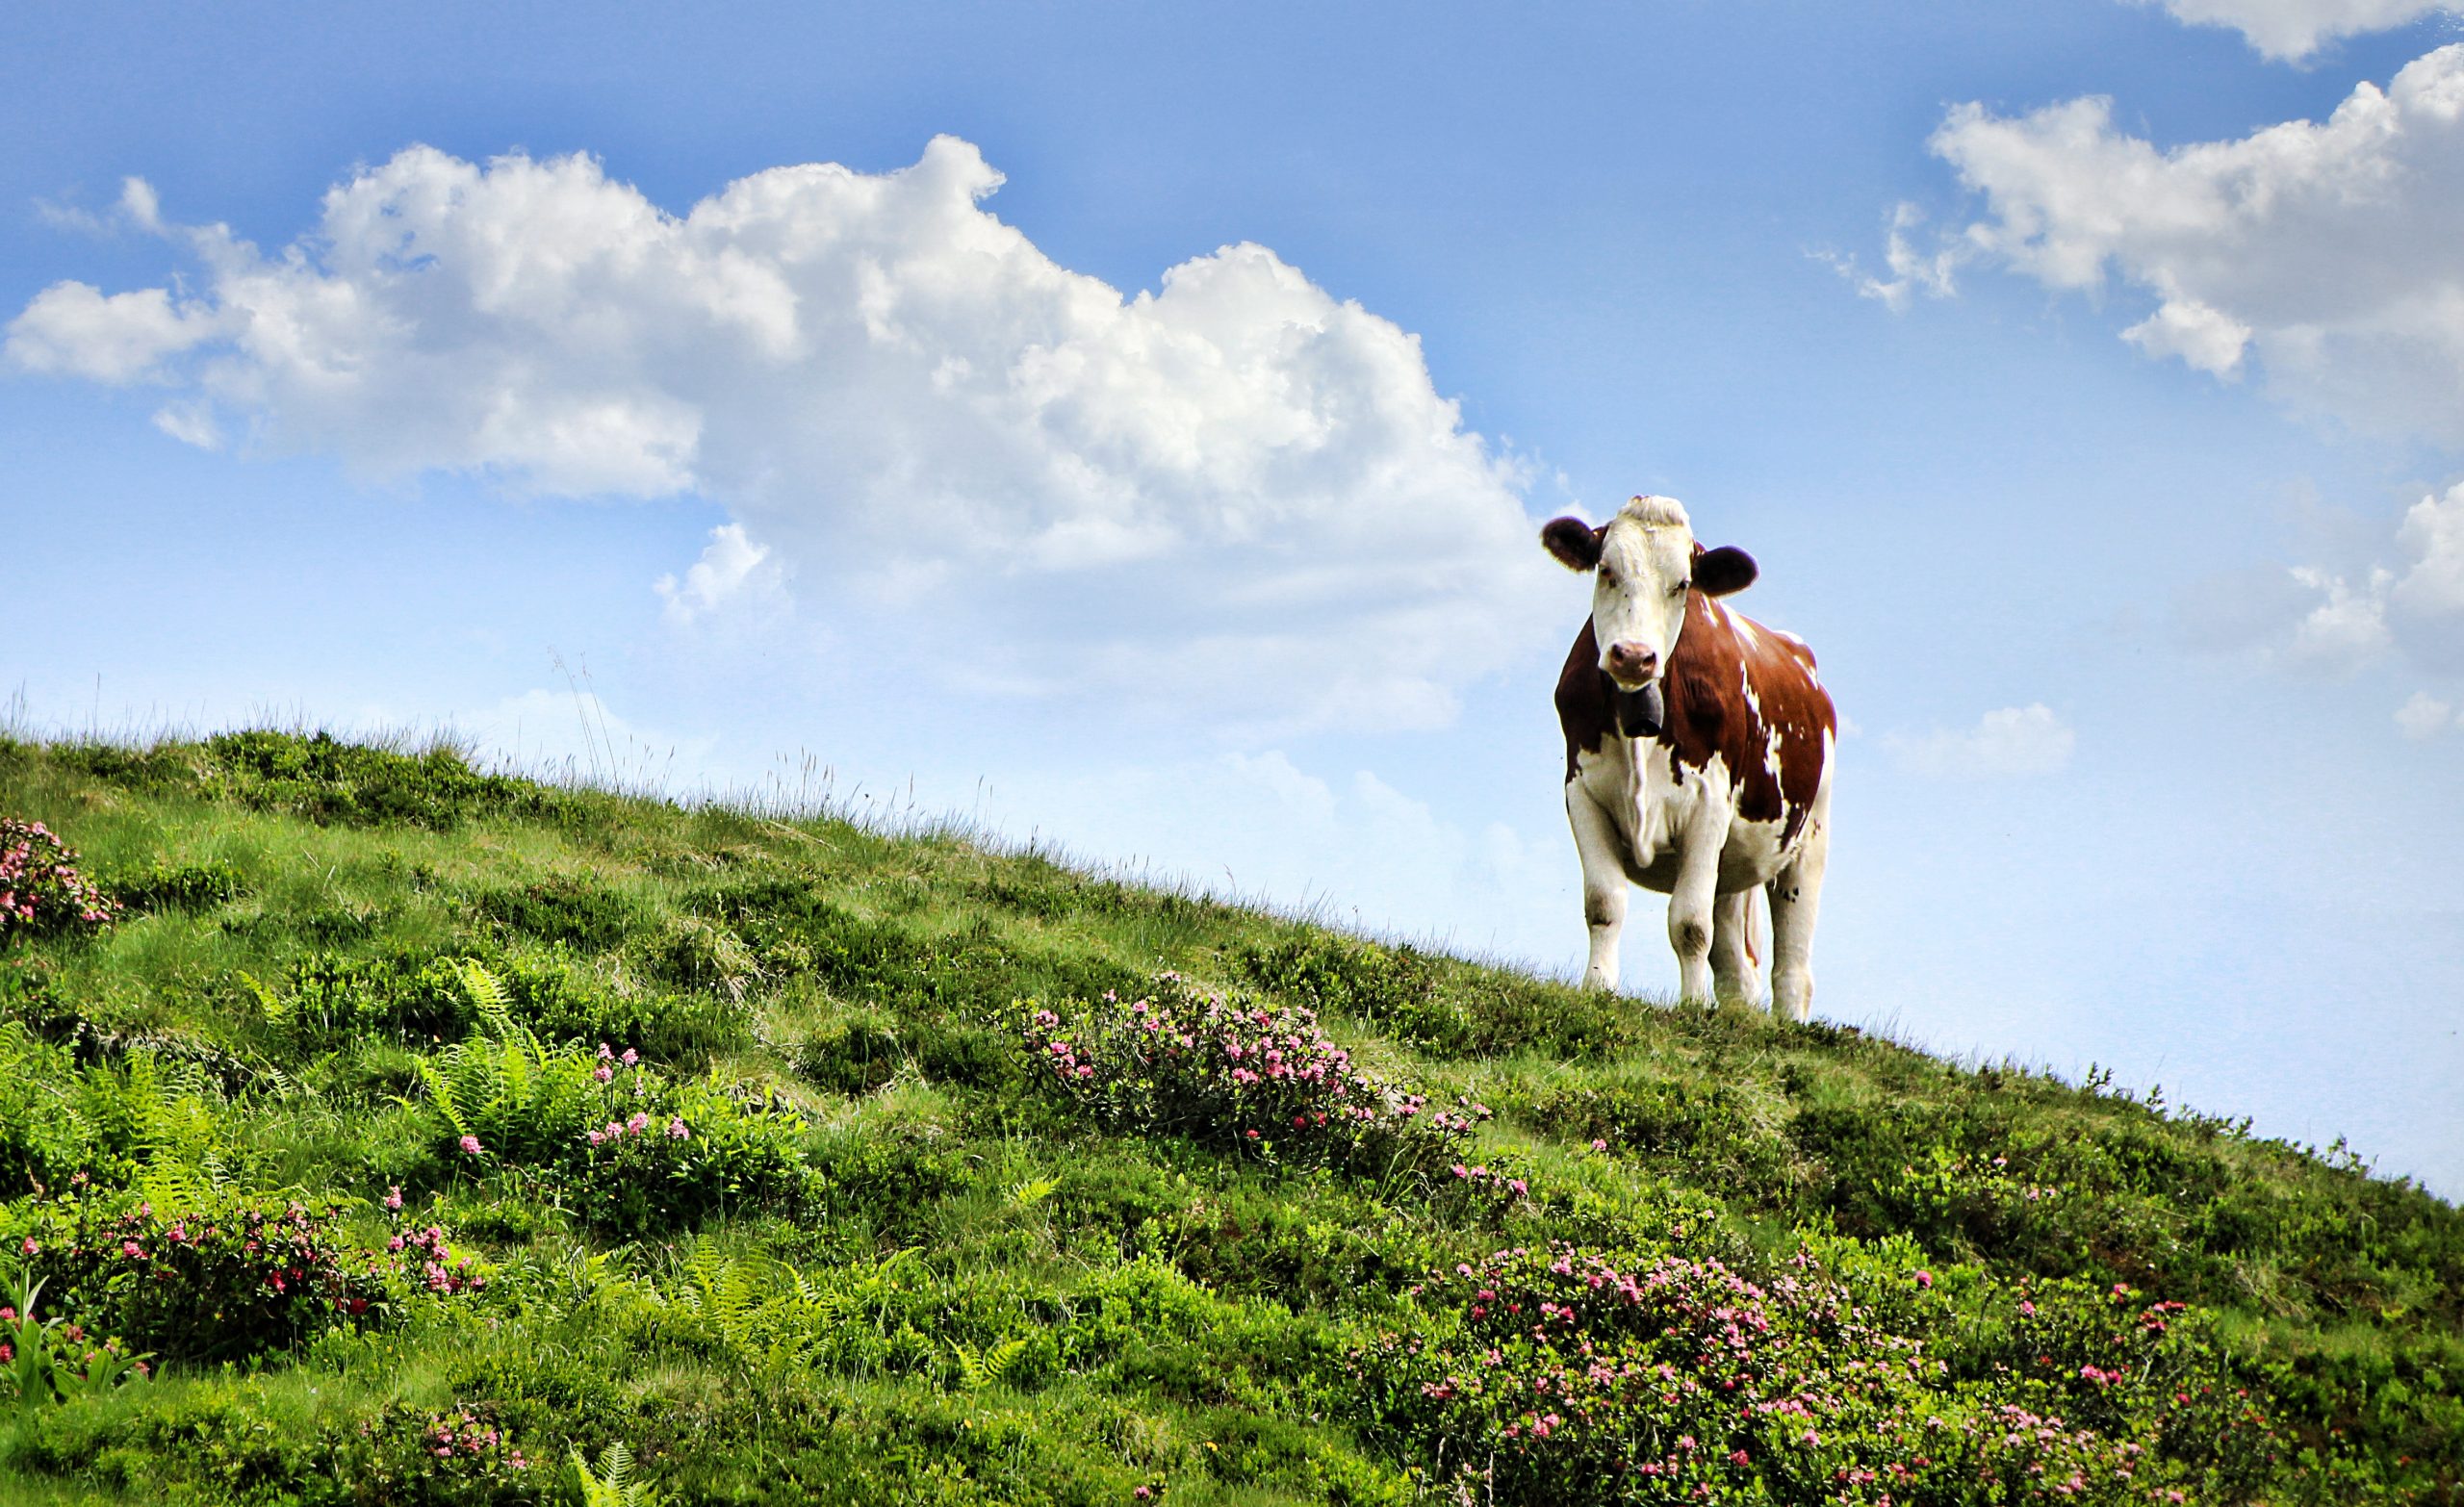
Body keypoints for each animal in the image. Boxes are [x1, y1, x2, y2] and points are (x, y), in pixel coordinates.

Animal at [1541, 496, 1836, 1020]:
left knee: (1792, 969)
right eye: (1606, 569)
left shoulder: (1708, 807)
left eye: (1682, 585)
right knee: (1737, 965)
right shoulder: (1582, 794)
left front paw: (1694, 1006)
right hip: (1733, 869)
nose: (1633, 656)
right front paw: (1598, 986)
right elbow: (1604, 903)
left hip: (1809, 839)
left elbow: (1690, 924)